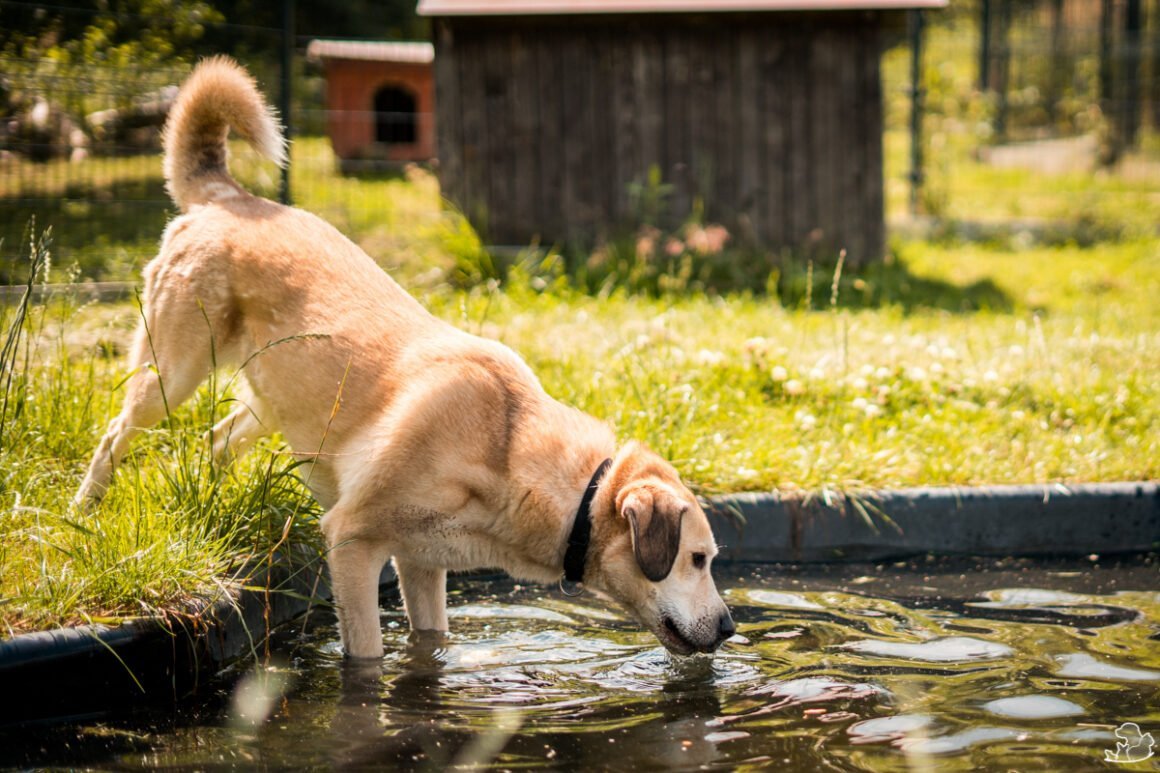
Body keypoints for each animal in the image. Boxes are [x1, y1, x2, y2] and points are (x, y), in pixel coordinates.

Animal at [74, 60, 733, 659]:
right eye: (698, 559)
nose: (730, 628)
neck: (507, 449)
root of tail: (228, 197)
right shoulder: (352, 543)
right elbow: (367, 653)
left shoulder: (421, 564)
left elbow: (431, 640)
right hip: (172, 374)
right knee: (113, 435)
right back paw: (84, 512)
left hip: (274, 400)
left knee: (215, 438)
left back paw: (214, 509)